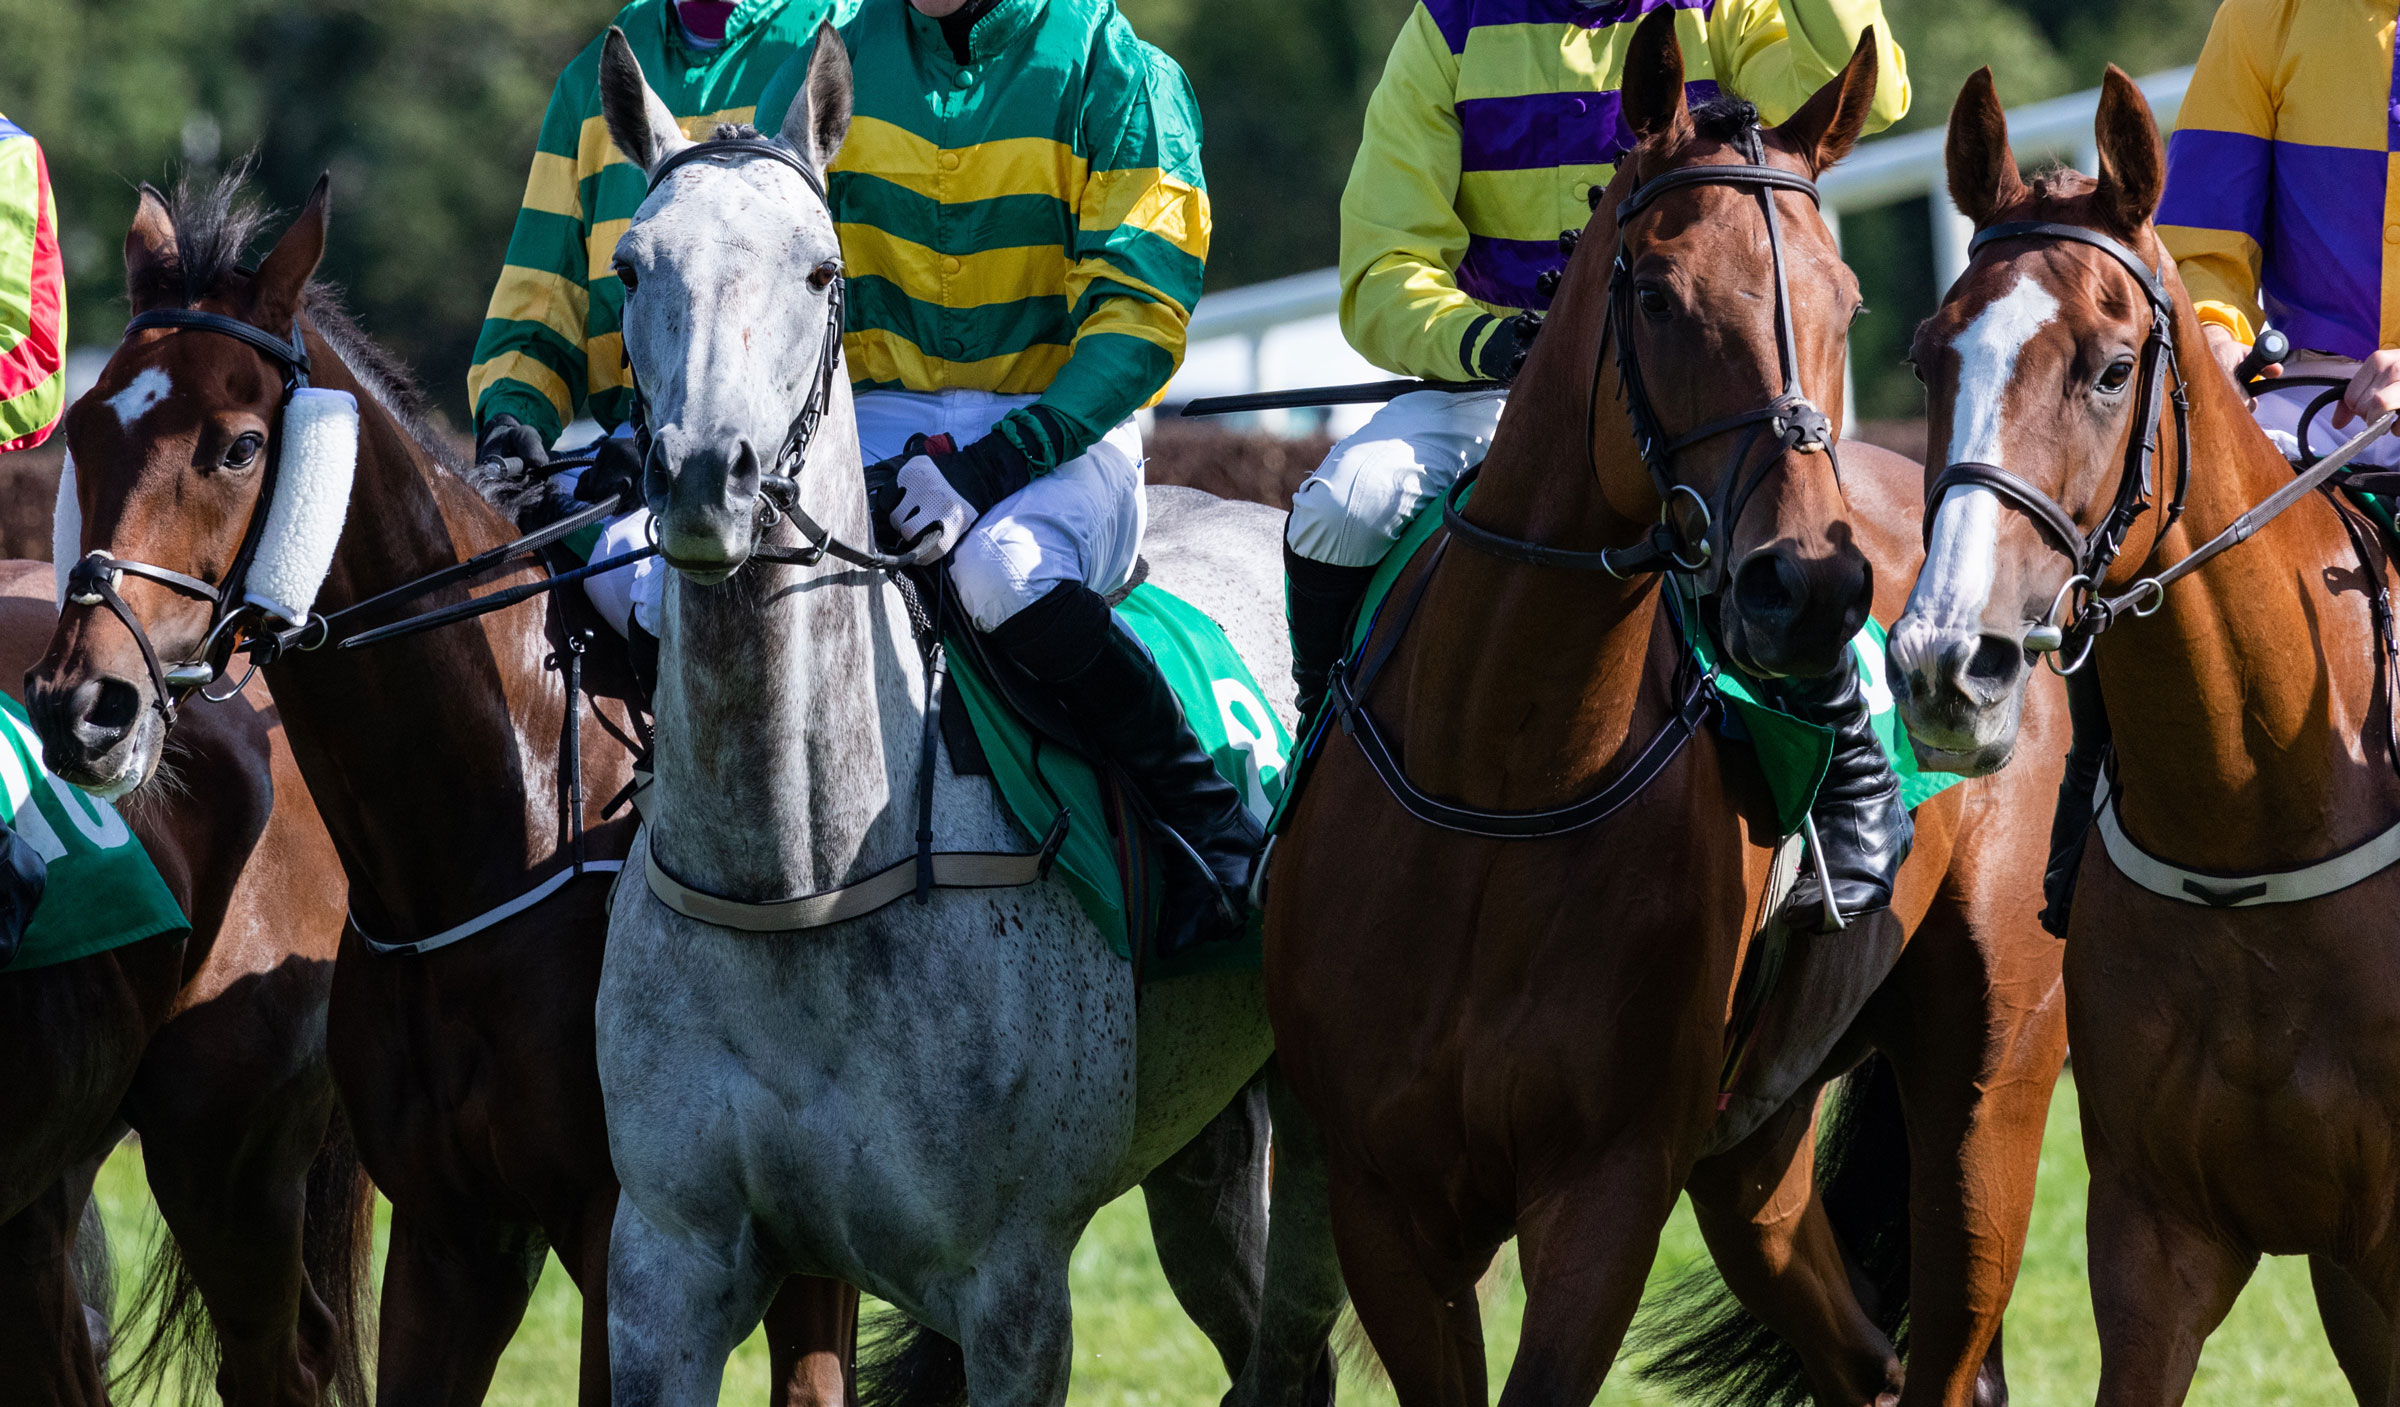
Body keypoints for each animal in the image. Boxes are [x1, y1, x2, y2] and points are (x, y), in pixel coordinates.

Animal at [588, 24, 1353, 1402]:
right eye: (630, 266)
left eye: (821, 267)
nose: (704, 477)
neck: (803, 882)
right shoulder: (664, 1272)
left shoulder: (1012, 1288)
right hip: (1201, 1149)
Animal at [1267, 13, 2073, 1402]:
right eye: (1654, 293)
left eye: (1848, 302)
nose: (1814, 589)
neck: (1502, 788)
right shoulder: (1383, 1206)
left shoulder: (1606, 1191)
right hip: (1756, 1156)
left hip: (1989, 1087)